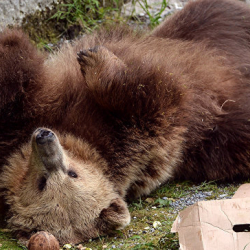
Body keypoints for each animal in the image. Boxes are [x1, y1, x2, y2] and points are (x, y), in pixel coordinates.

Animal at [0, 0, 250, 246]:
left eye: (73, 174)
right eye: (42, 183)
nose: (44, 138)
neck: (80, 139)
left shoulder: (123, 135)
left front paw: (92, 58)